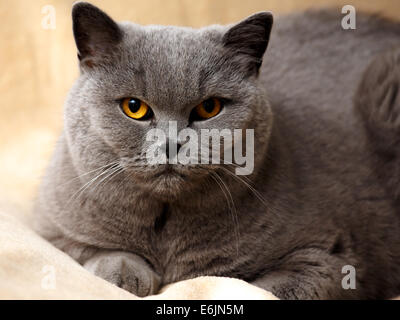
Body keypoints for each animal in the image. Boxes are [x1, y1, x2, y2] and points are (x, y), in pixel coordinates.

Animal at [32, 1, 400, 298]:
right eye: (134, 107)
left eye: (209, 108)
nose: (172, 142)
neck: (166, 228)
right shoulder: (50, 228)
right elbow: (93, 251)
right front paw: (124, 274)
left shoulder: (333, 257)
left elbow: (272, 286)